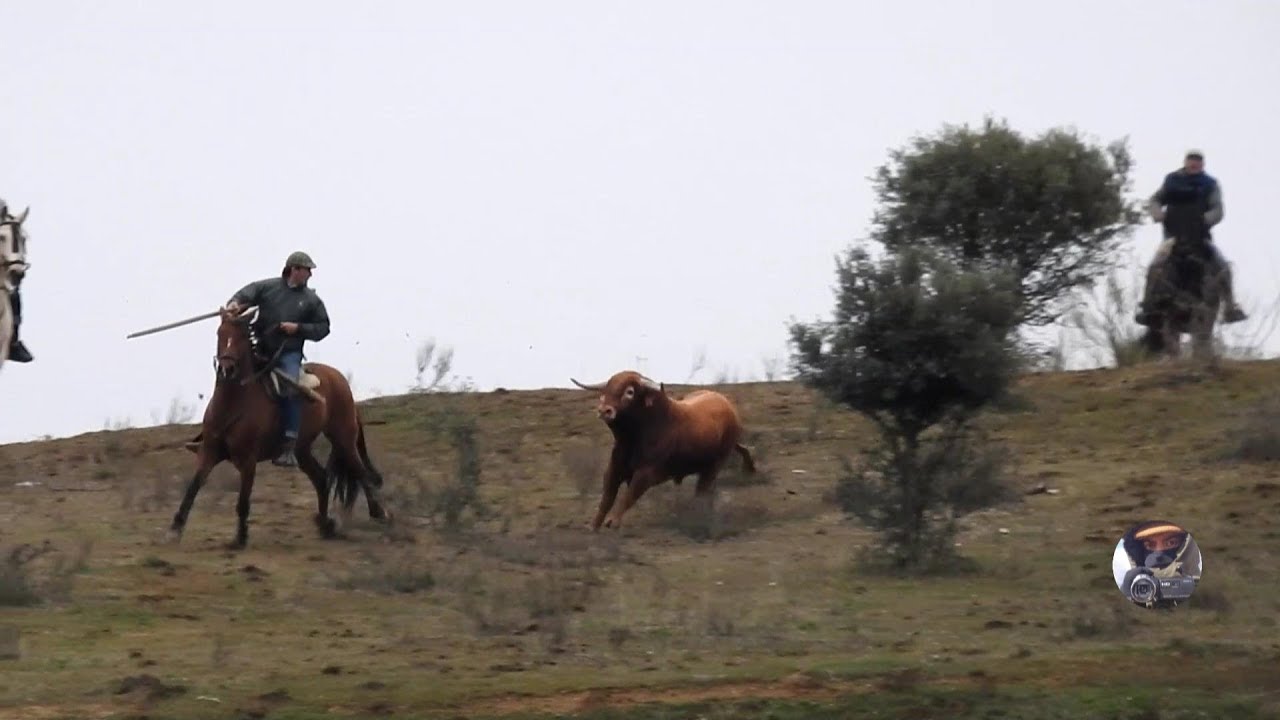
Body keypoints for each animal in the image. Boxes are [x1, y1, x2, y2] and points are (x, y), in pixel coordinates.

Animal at [168, 304, 392, 549]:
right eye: (220, 334)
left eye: (241, 336)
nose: (227, 368)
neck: (234, 402)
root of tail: (339, 379)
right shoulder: (209, 452)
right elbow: (193, 487)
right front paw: (176, 528)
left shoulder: (248, 460)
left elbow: (243, 500)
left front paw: (240, 538)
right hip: (301, 450)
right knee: (322, 478)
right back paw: (325, 525)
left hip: (343, 437)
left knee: (360, 472)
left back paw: (380, 514)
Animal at [1138, 202, 1224, 362]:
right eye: (1171, 220)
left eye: (1198, 224)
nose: (1183, 249)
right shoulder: (1168, 314)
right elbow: (1172, 344)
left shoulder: (1205, 313)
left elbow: (1201, 339)